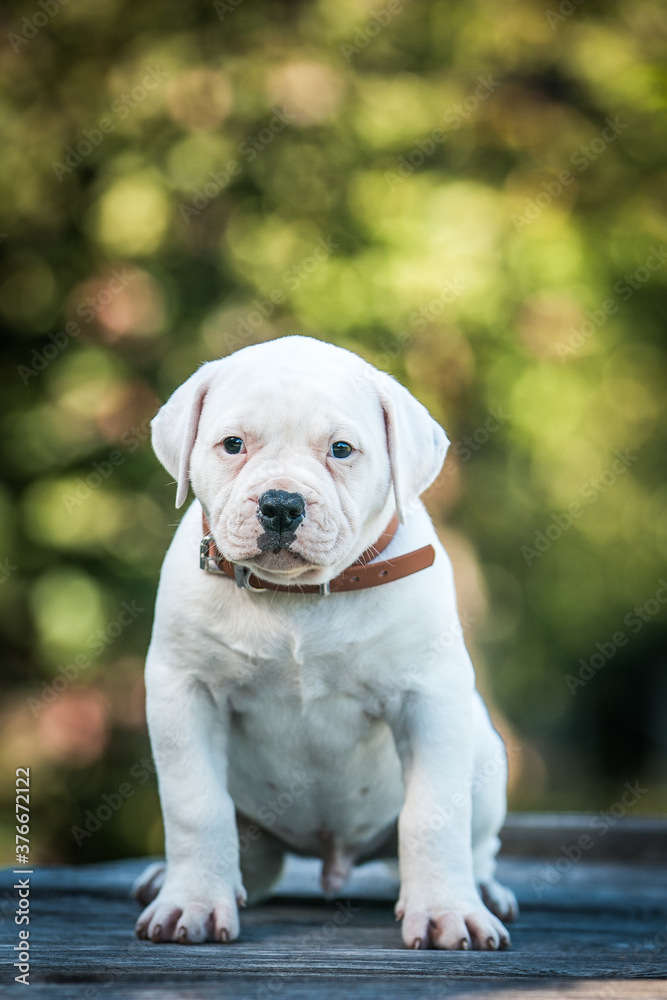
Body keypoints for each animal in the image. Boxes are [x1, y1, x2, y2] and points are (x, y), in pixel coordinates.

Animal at [134, 334, 516, 944]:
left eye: (341, 449)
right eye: (233, 444)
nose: (281, 504)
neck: (297, 598)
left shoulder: (429, 699)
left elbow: (433, 814)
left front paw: (446, 912)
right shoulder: (185, 691)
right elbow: (196, 805)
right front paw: (191, 904)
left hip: (485, 761)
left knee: (478, 843)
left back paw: (485, 891)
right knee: (250, 859)